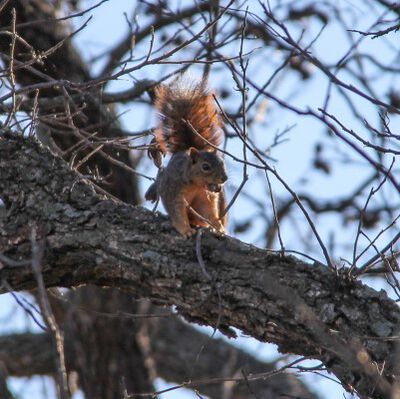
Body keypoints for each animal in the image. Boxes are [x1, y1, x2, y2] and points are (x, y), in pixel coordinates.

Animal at [146, 79, 228, 239]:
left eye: (223, 163)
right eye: (205, 167)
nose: (224, 178)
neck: (196, 185)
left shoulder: (205, 198)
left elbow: (210, 213)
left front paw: (219, 227)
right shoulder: (173, 192)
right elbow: (178, 214)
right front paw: (186, 230)